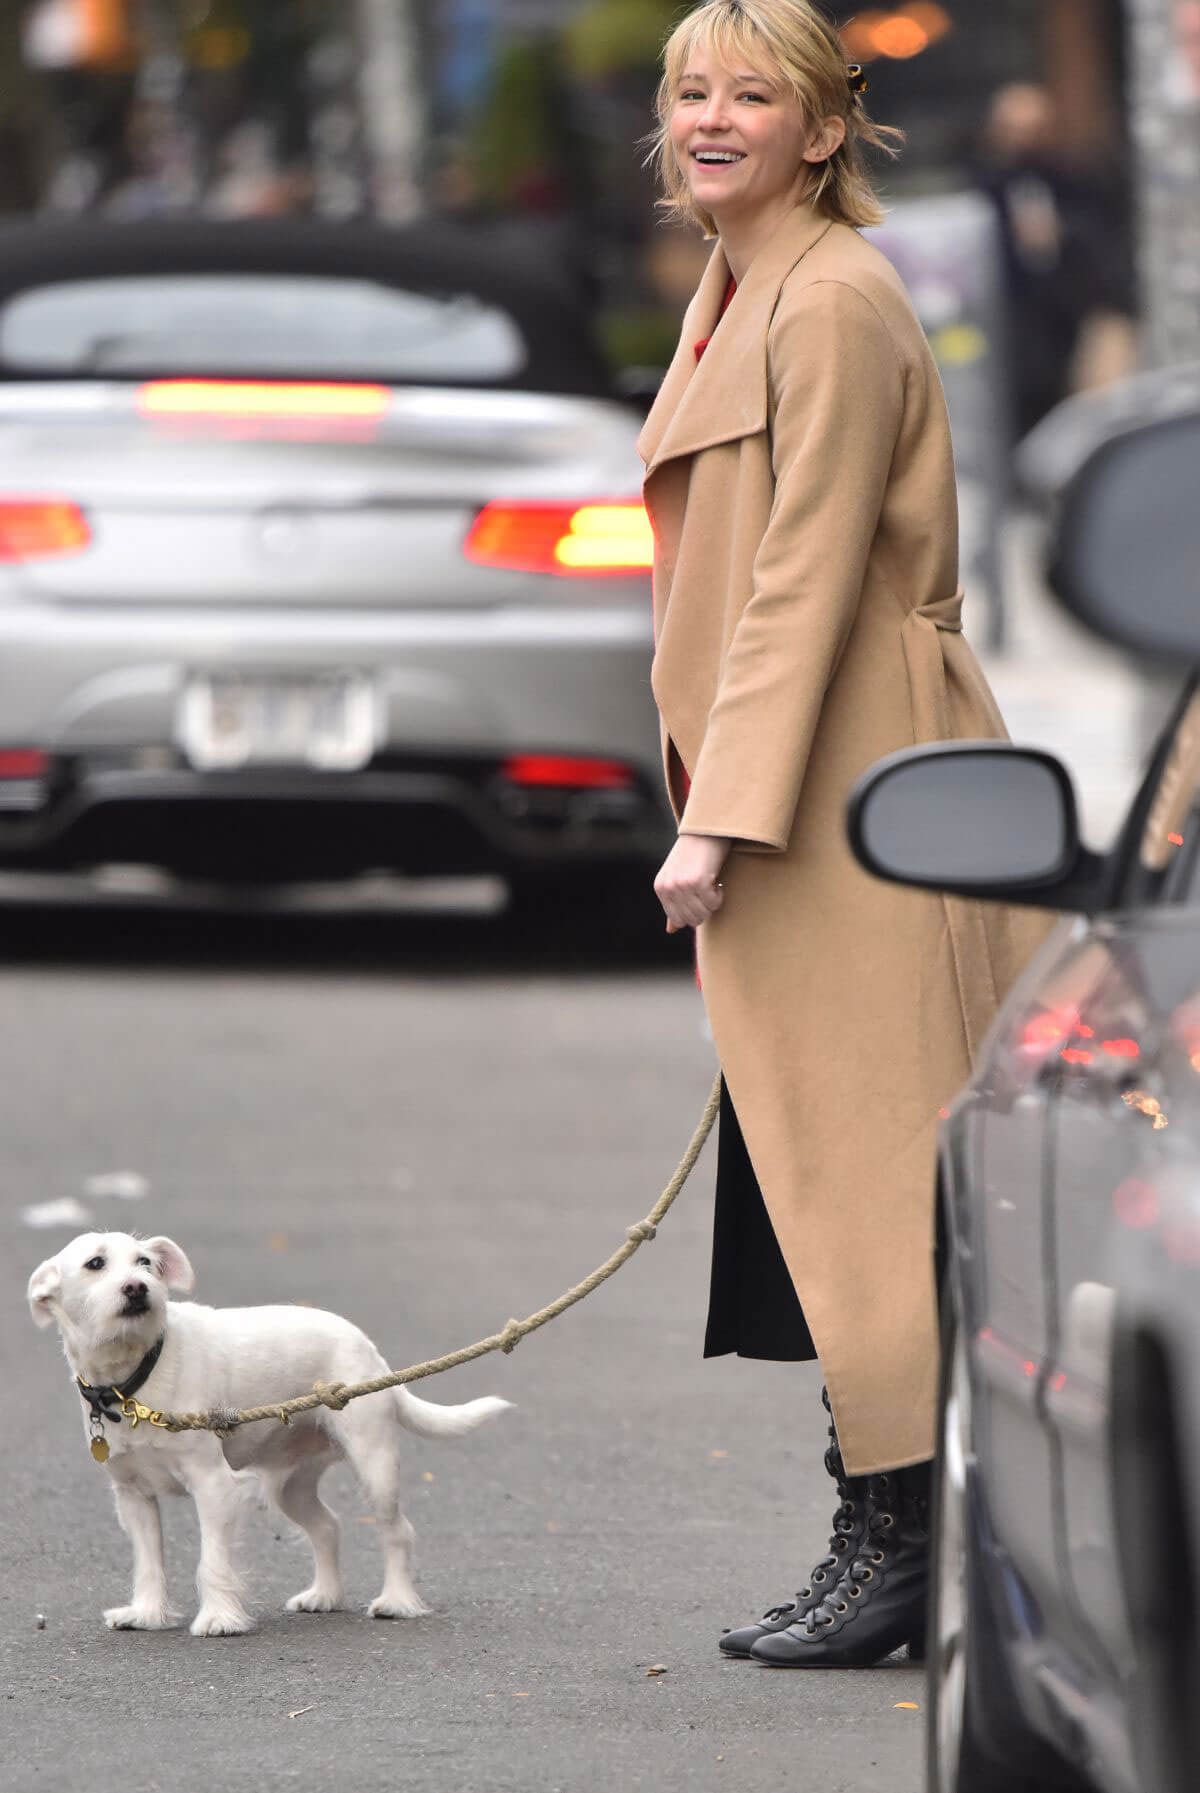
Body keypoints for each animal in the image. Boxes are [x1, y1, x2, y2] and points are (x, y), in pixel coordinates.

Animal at [28, 1233, 505, 1642]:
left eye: (145, 1262)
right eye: (95, 1263)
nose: (138, 1288)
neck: (133, 1383)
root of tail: (371, 1351)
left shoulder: (213, 1486)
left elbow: (212, 1561)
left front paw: (220, 1618)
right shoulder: (134, 1496)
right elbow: (148, 1563)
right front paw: (146, 1613)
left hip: (375, 1465)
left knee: (397, 1531)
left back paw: (398, 1601)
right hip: (289, 1487)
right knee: (327, 1527)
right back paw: (325, 1595)